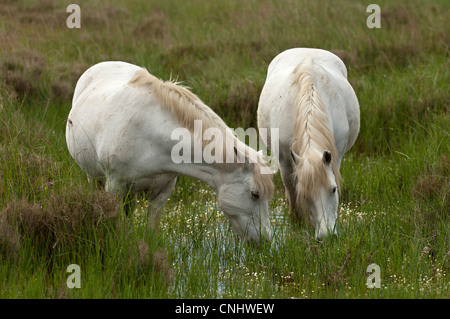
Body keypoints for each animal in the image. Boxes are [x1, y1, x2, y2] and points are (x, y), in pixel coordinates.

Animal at [65, 61, 272, 244]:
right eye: (255, 194)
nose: (266, 240)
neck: (151, 136)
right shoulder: (115, 186)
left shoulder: (163, 190)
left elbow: (151, 229)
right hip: (95, 178)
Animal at [258, 48, 360, 240]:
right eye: (305, 194)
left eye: (334, 189)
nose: (327, 236)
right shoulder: (285, 162)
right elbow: (292, 193)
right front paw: (296, 225)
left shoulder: (336, 158)